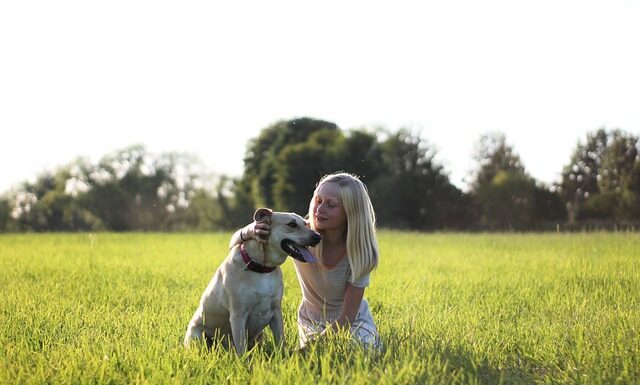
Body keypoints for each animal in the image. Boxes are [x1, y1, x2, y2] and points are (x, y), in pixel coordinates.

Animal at [185, 208, 320, 352]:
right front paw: (244, 359)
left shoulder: (276, 311)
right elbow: (241, 349)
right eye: (292, 224)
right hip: (197, 336)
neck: (262, 268)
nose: (318, 237)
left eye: (305, 224)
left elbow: (280, 342)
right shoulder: (238, 315)